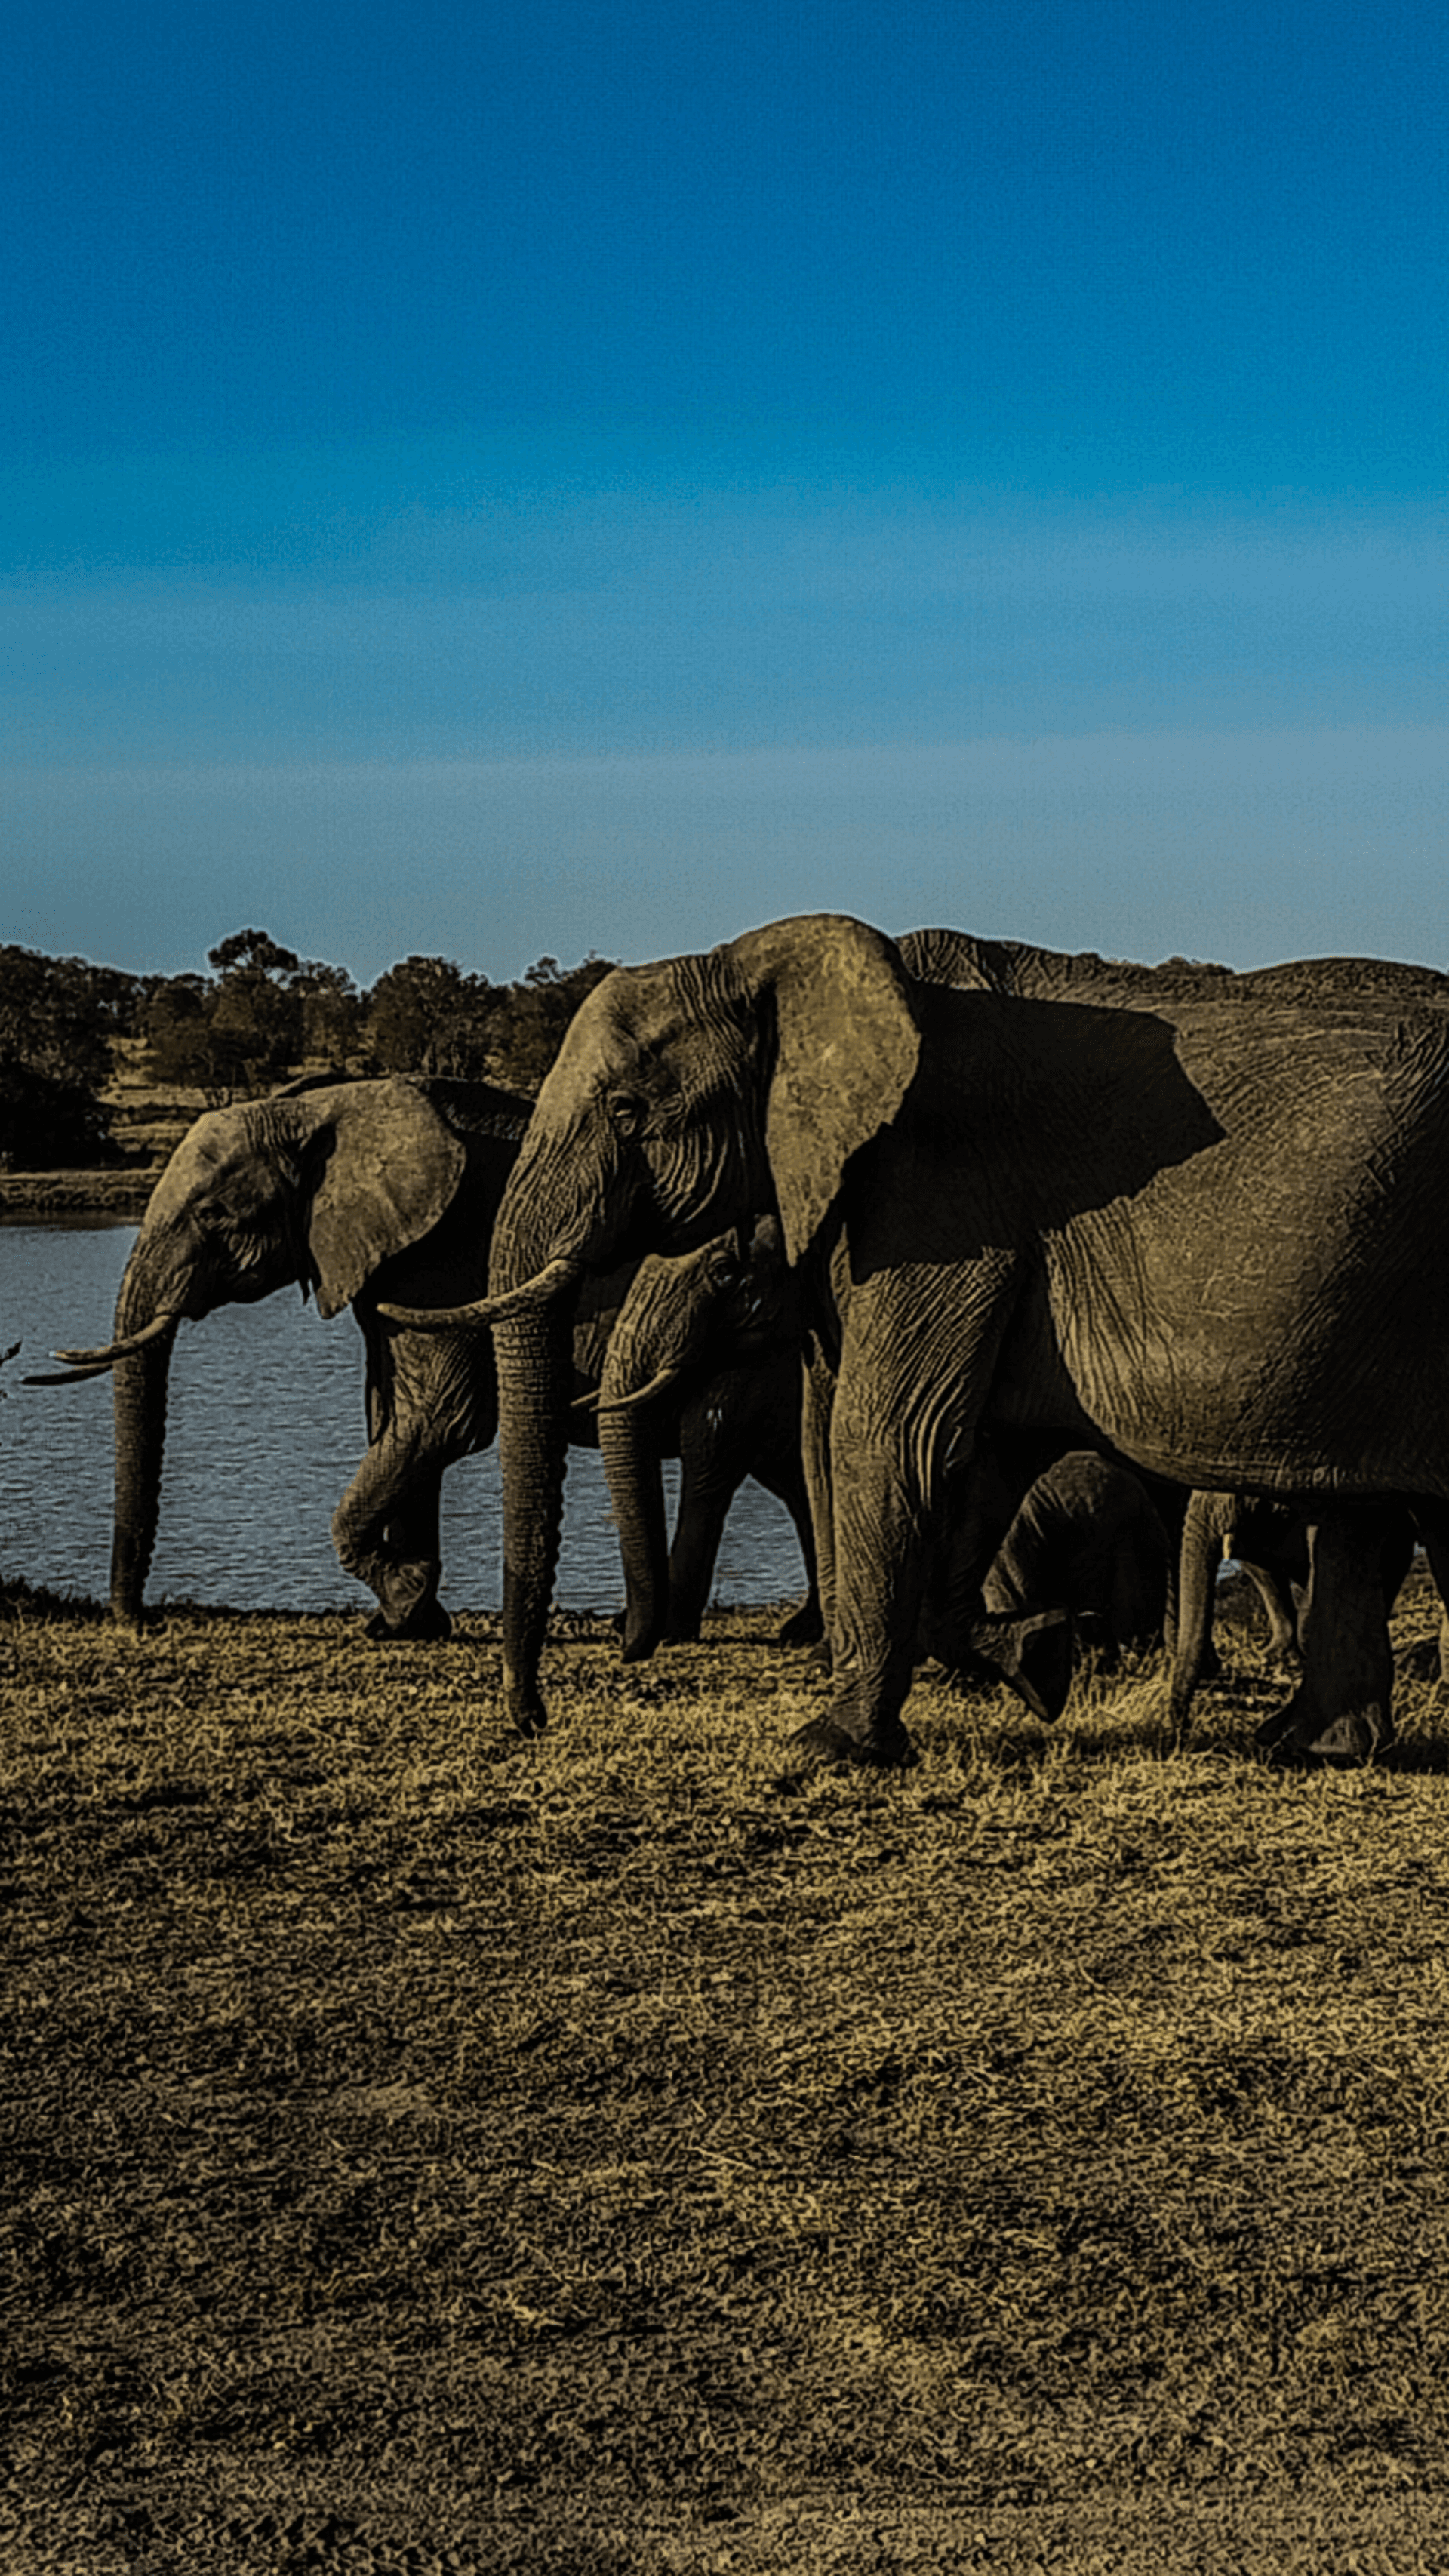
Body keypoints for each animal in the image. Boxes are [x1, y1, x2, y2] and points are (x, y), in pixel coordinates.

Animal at [30, 1075, 818, 1643]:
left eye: (214, 1216)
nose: (140, 1620)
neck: (323, 1108)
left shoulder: (439, 1257)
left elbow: (442, 1419)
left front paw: (406, 1598)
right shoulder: (386, 1264)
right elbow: (393, 1417)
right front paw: (406, 1623)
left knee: (718, 1448)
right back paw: (800, 1630)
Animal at [388, 911, 1449, 1768]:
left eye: (626, 1112)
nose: (532, 1718)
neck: (762, 962)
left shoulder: (940, 1198)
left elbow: (894, 1436)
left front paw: (826, 1747)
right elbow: (970, 1458)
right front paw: (1040, 1661)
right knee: (1375, 1513)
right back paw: (1311, 1745)